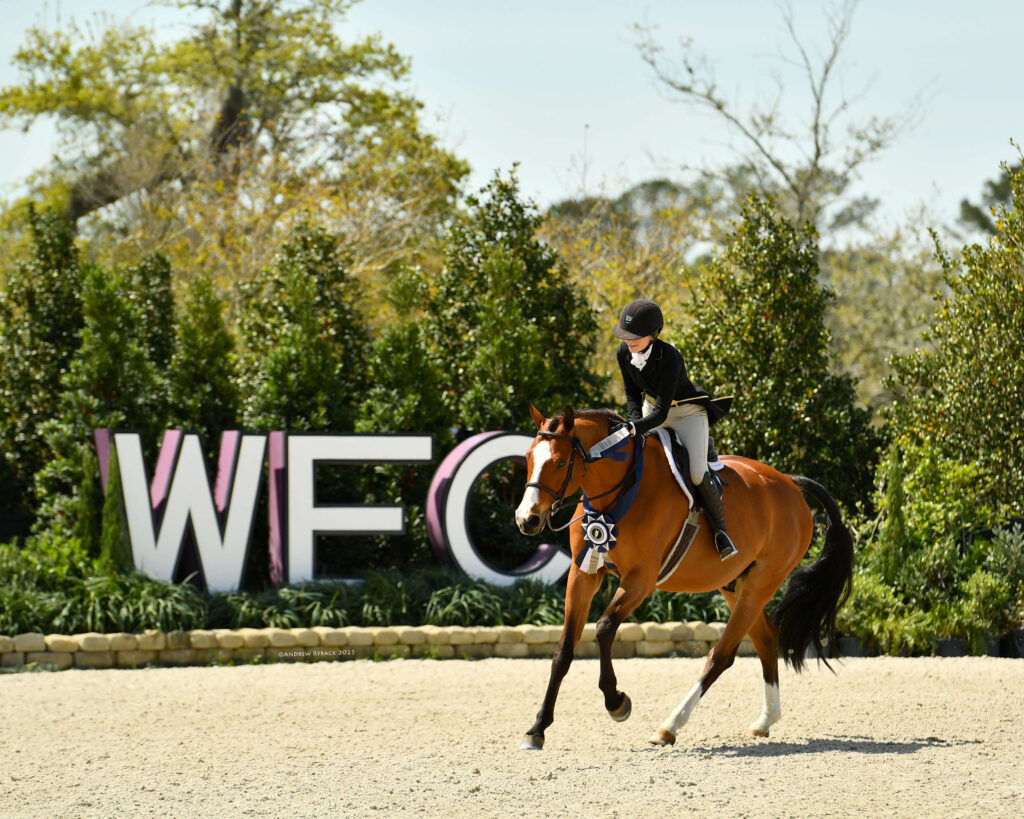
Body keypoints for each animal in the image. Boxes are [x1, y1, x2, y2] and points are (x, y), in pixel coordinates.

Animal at [513, 404, 853, 749]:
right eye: (528, 458)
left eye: (559, 462)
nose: (526, 520)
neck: (618, 493)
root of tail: (789, 482)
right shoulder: (584, 573)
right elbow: (563, 650)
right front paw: (537, 729)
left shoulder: (641, 579)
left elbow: (605, 628)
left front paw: (617, 702)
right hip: (735, 585)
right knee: (766, 638)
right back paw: (765, 720)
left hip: (761, 584)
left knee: (721, 656)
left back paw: (669, 727)